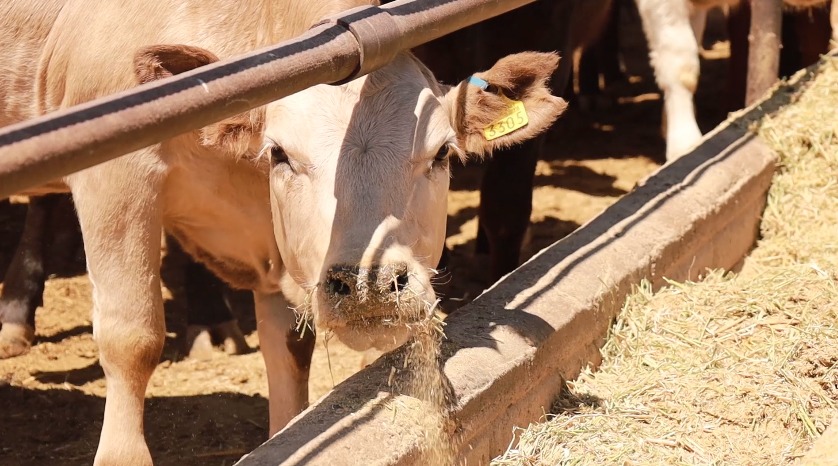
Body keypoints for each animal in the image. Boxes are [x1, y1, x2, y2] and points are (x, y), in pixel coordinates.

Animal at [0, 0, 566, 463]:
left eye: (442, 153)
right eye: (280, 154)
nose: (368, 284)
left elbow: (290, 348)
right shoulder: (115, 176)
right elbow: (132, 337)